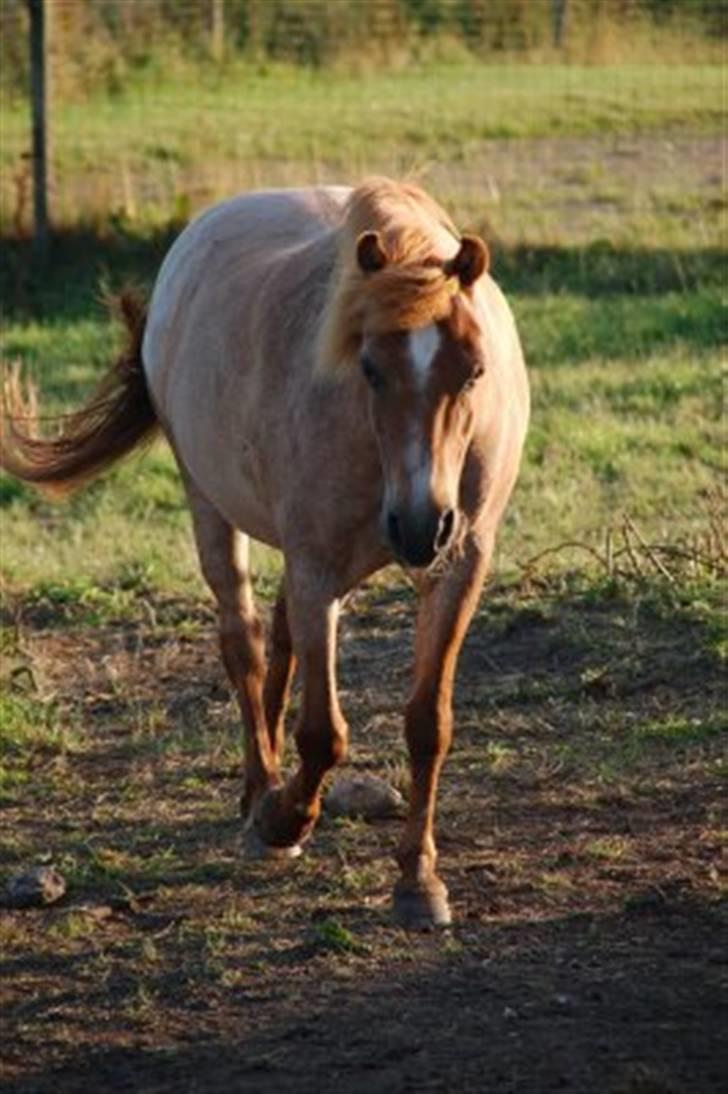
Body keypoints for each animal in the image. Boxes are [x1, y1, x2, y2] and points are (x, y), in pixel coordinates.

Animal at [2, 175, 532, 927]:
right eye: (369, 368)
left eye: (474, 370)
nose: (419, 526)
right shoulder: (316, 568)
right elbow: (323, 734)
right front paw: (284, 819)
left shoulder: (459, 567)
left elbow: (428, 722)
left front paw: (418, 879)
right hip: (210, 505)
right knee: (245, 643)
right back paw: (261, 796)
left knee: (279, 642)